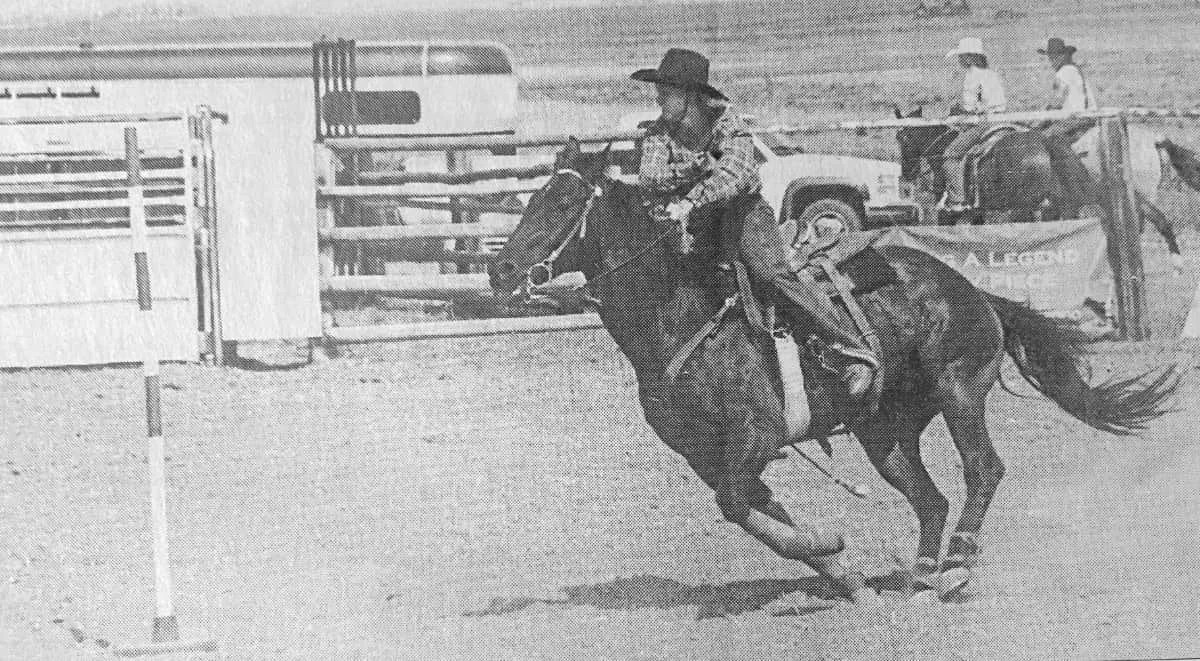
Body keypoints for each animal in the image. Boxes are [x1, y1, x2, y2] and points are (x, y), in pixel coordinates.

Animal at [489, 138, 1179, 606]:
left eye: (562, 201)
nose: (499, 270)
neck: (679, 321)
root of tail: (971, 289)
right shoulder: (706, 455)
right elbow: (752, 512)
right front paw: (842, 571)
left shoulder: (754, 441)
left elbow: (740, 505)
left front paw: (828, 549)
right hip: (885, 432)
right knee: (929, 497)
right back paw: (919, 575)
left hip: (960, 388)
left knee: (984, 469)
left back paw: (957, 566)